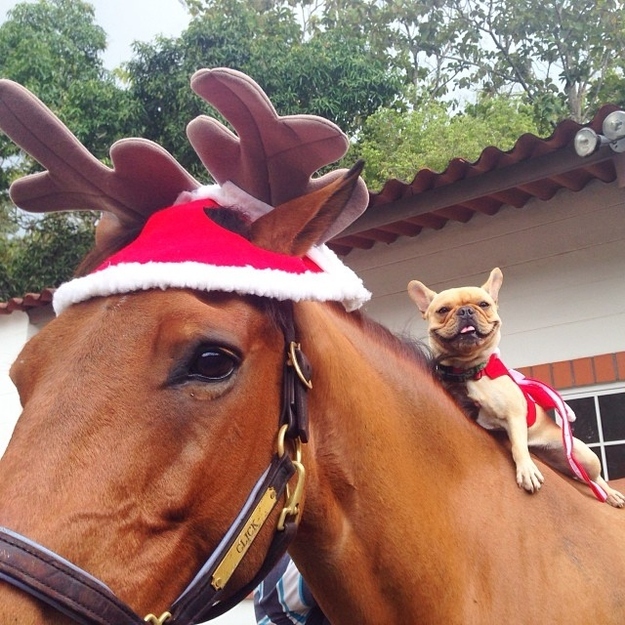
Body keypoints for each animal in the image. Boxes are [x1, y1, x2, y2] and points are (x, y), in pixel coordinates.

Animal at [408, 268, 620, 508]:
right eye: (443, 310)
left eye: (483, 304)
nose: (465, 310)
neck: (469, 371)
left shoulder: (514, 415)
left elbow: (518, 446)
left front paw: (527, 471)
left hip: (583, 455)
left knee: (595, 479)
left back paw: (611, 494)